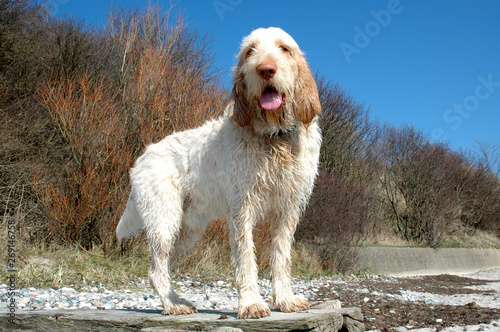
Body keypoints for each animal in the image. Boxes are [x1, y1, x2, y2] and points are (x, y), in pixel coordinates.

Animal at [115, 26, 322, 320]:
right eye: (250, 51)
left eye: (284, 48)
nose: (265, 70)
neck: (274, 138)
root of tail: (142, 158)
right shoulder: (242, 208)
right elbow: (246, 258)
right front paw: (251, 303)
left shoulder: (287, 208)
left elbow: (281, 256)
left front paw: (285, 299)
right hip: (164, 220)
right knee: (157, 269)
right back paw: (172, 305)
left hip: (187, 228)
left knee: (161, 268)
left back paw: (177, 301)